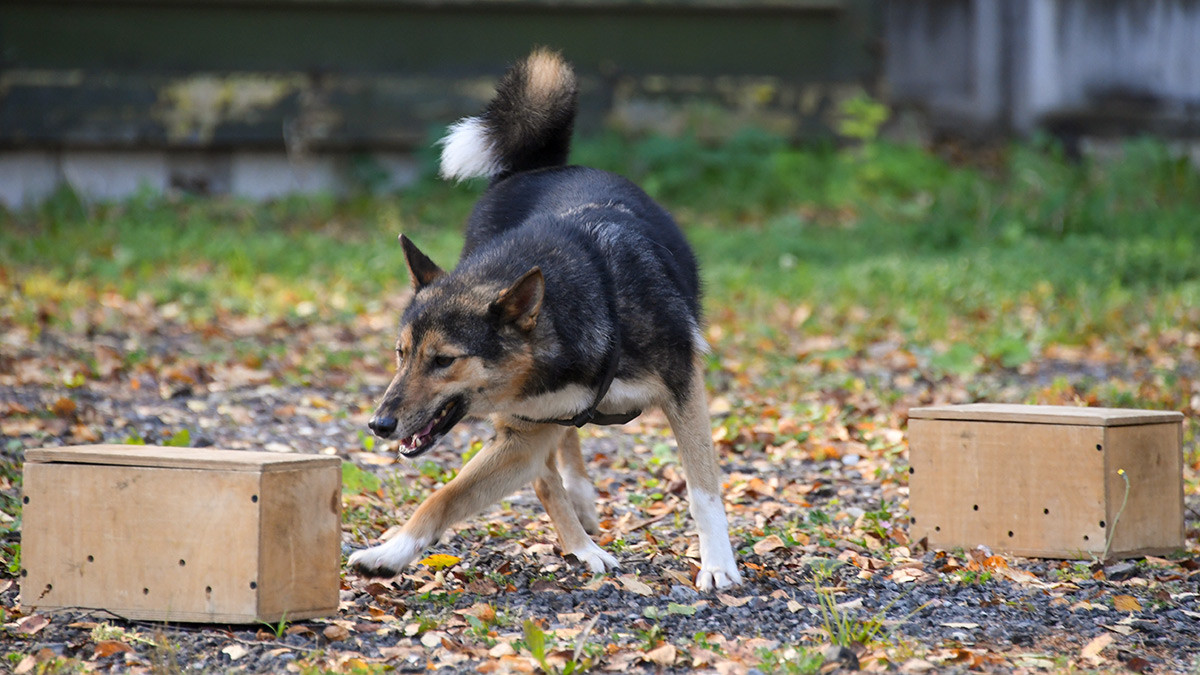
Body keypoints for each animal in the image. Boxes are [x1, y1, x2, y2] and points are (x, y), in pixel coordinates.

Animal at [348, 48, 739, 588]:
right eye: (401, 354)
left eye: (443, 360)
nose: (379, 424)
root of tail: (537, 167)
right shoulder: (523, 435)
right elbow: (445, 496)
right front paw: (390, 551)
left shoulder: (685, 392)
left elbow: (703, 489)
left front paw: (719, 565)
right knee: (551, 474)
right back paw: (582, 535)